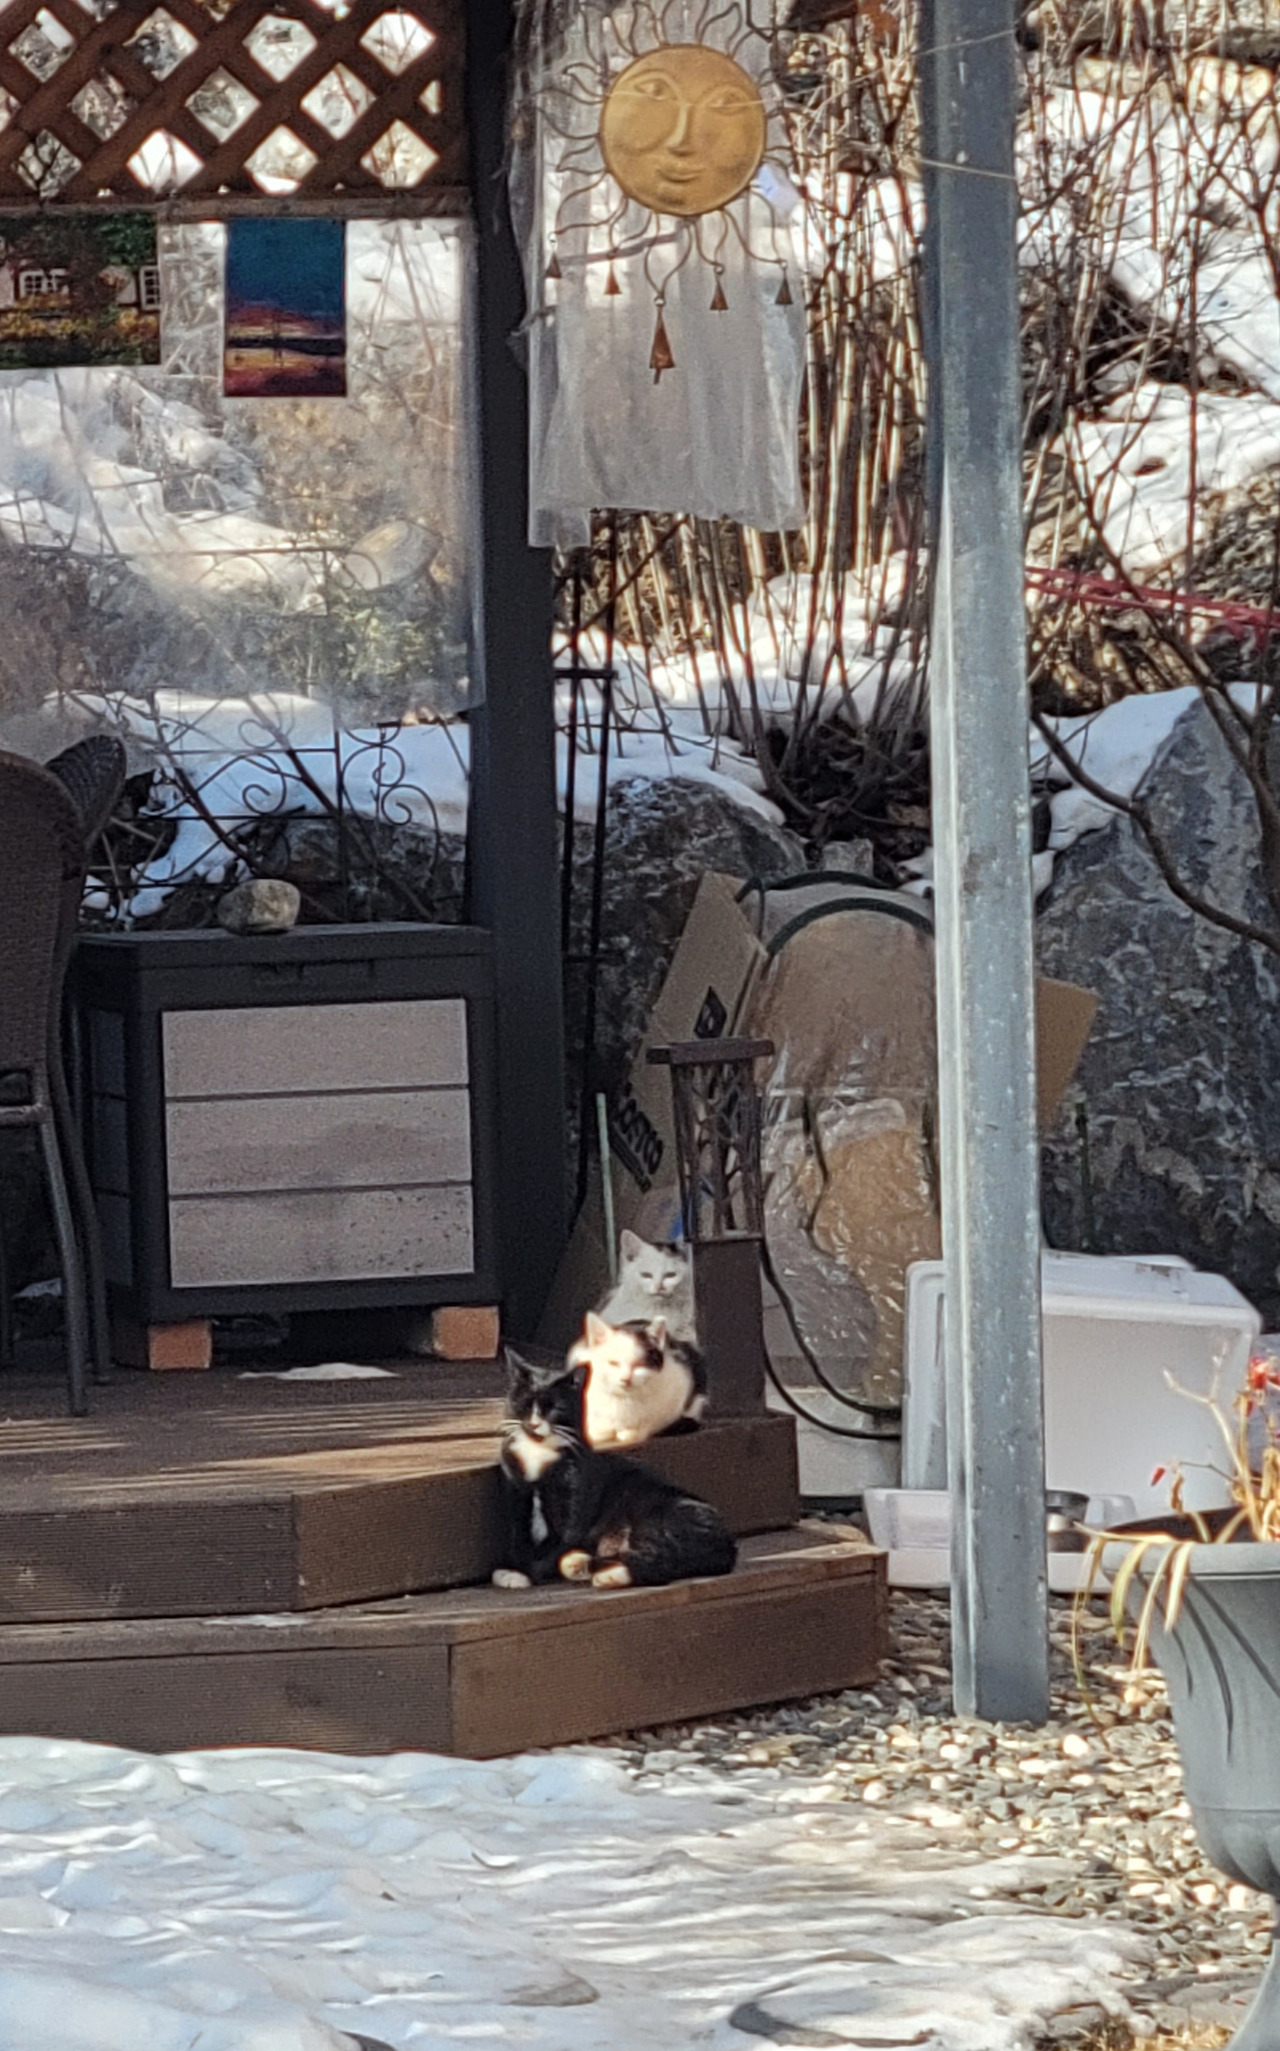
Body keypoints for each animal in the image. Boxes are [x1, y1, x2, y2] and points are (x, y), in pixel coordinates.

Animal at [491, 1350, 736, 1591]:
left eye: (554, 1408)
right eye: (524, 1403)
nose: (533, 1424)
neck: (538, 1452)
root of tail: (728, 1547)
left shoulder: (575, 1495)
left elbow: (562, 1538)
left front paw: (522, 1574)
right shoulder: (515, 1492)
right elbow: (517, 1536)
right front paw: (513, 1568)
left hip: (657, 1516)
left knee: (657, 1562)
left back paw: (605, 1574)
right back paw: (582, 1566)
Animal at [570, 1310, 708, 1449]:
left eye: (639, 1365)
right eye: (613, 1363)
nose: (625, 1378)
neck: (624, 1400)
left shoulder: (681, 1384)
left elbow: (654, 1419)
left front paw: (633, 1431)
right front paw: (598, 1430)